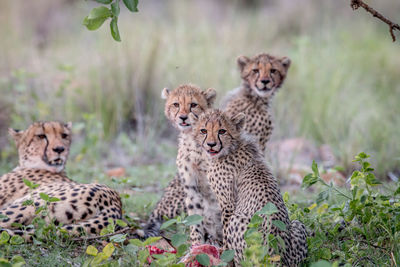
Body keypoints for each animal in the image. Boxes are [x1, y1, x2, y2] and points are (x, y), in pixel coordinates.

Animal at [192, 110, 308, 266]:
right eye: (203, 130)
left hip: (238, 221)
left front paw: (223, 256)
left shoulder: (228, 205)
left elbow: (226, 236)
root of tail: (278, 258)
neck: (232, 146)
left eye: (222, 131)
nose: (211, 144)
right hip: (297, 225)